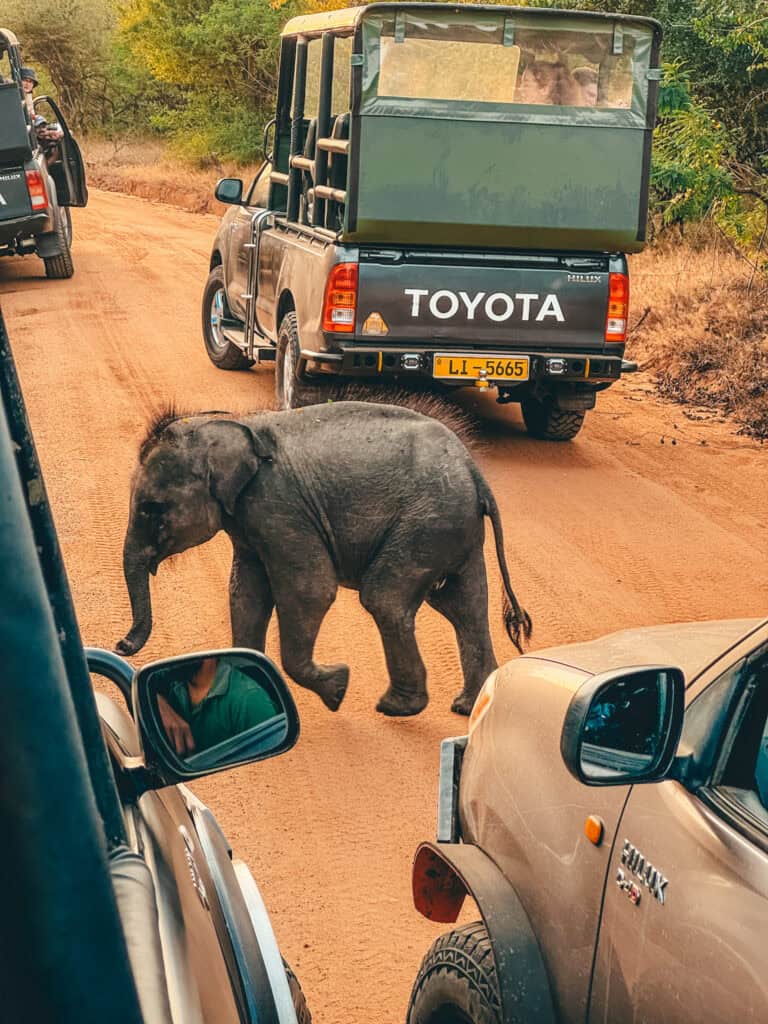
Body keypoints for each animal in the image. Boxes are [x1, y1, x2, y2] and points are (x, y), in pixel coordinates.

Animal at [117, 397, 532, 712]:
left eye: (152, 509)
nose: (121, 646)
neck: (233, 424)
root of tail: (475, 473)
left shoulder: (280, 508)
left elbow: (310, 590)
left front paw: (337, 690)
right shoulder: (249, 522)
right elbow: (246, 593)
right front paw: (249, 679)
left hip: (427, 522)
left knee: (386, 598)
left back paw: (396, 707)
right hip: (451, 528)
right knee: (464, 606)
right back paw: (466, 706)